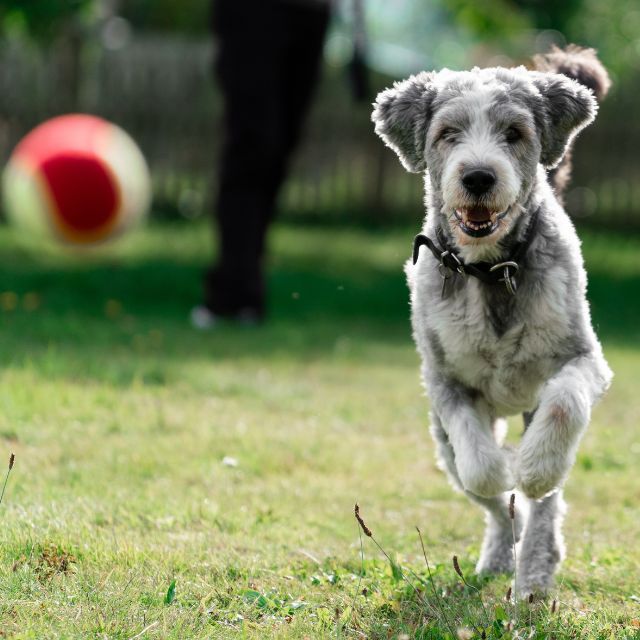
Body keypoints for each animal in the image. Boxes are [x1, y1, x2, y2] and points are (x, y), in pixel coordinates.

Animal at [372, 48, 612, 596]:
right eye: (448, 132)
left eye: (514, 133)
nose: (479, 176)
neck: (492, 270)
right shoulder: (444, 381)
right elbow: (480, 466)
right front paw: (503, 467)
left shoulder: (584, 359)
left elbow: (564, 405)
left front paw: (534, 468)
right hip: (441, 445)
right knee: (495, 505)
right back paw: (504, 555)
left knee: (545, 508)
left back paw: (535, 572)